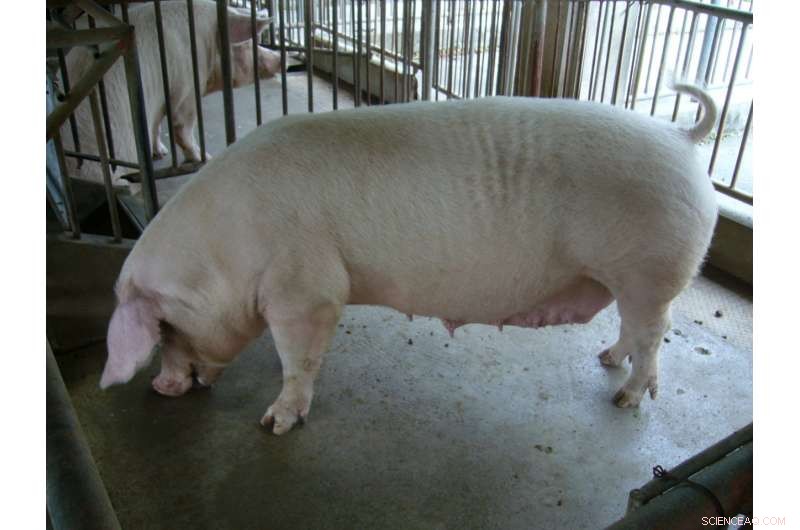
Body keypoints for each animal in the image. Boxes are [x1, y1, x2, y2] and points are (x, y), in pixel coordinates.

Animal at [54, 0, 280, 184]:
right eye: (249, 44)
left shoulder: (156, 99)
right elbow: (182, 127)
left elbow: (155, 125)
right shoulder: (187, 84)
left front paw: (160, 153)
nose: (280, 59)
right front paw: (205, 158)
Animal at [100, 83, 719, 435]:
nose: (161, 388)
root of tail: (682, 137)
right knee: (632, 329)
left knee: (654, 334)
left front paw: (274, 425)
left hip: (653, 269)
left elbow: (299, 358)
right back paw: (604, 358)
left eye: (165, 327)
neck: (224, 252)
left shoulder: (309, 289)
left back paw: (624, 396)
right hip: (631, 275)